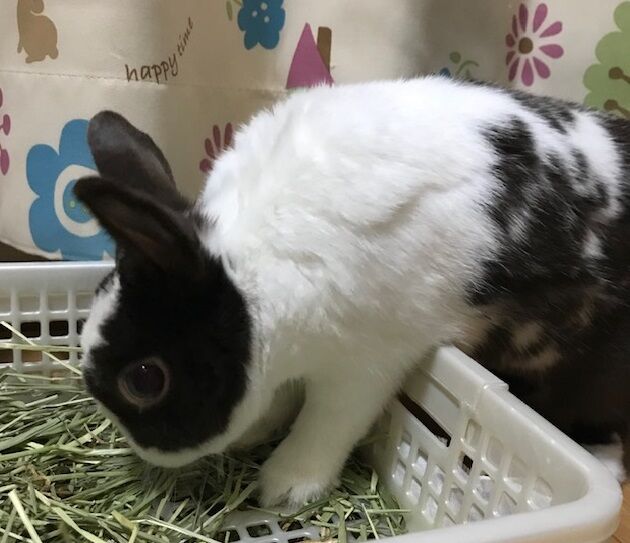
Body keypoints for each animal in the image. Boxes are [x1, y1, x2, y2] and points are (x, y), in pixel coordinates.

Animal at [75, 75, 630, 507]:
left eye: (145, 380)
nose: (143, 450)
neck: (253, 269)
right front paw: (258, 433)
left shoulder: (365, 365)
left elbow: (326, 424)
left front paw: (284, 489)